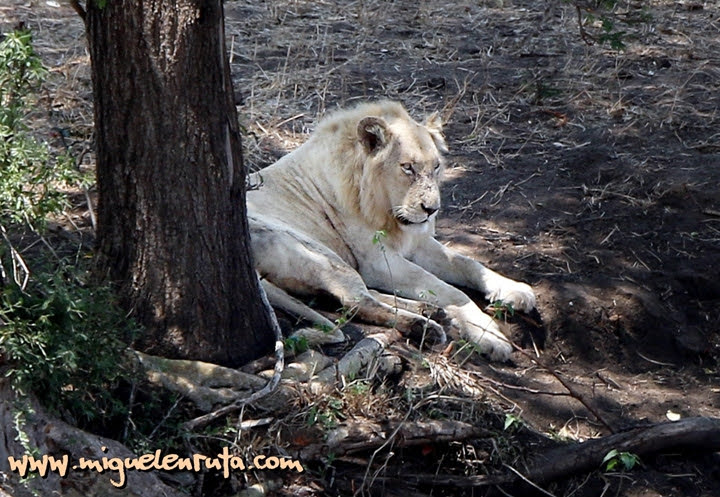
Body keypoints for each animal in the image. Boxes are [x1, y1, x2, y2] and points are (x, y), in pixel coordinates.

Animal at [248, 101, 536, 360]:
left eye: (436, 167)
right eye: (407, 167)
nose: (432, 210)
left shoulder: (417, 242)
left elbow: (468, 263)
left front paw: (515, 290)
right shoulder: (378, 261)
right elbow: (449, 289)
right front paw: (489, 335)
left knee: (352, 298)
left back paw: (427, 310)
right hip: (321, 254)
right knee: (356, 302)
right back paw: (425, 326)